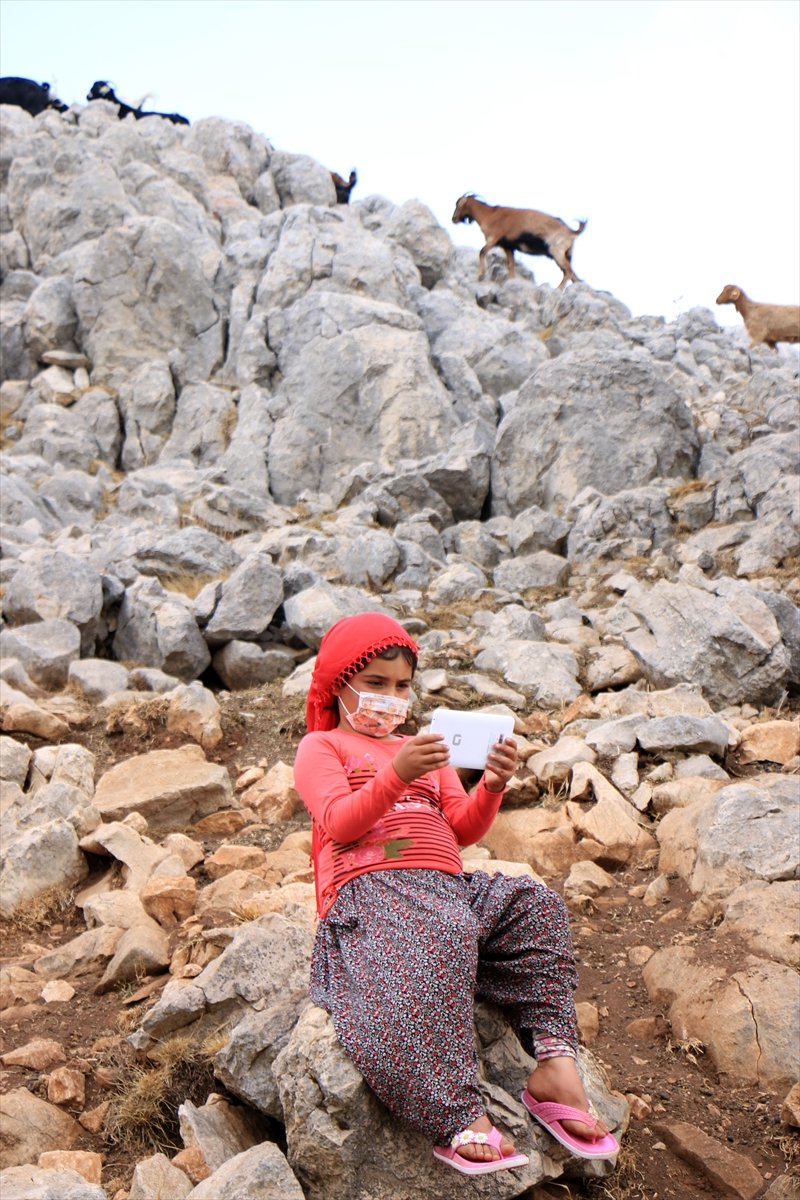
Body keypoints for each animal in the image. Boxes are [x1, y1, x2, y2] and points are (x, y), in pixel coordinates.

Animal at [450, 196, 587, 290]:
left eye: (458, 205)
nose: (453, 218)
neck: (490, 215)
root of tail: (572, 232)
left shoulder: (494, 239)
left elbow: (482, 252)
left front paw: (481, 276)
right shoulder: (508, 246)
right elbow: (511, 265)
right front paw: (511, 281)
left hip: (557, 252)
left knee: (568, 272)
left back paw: (558, 289)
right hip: (564, 255)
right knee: (571, 273)